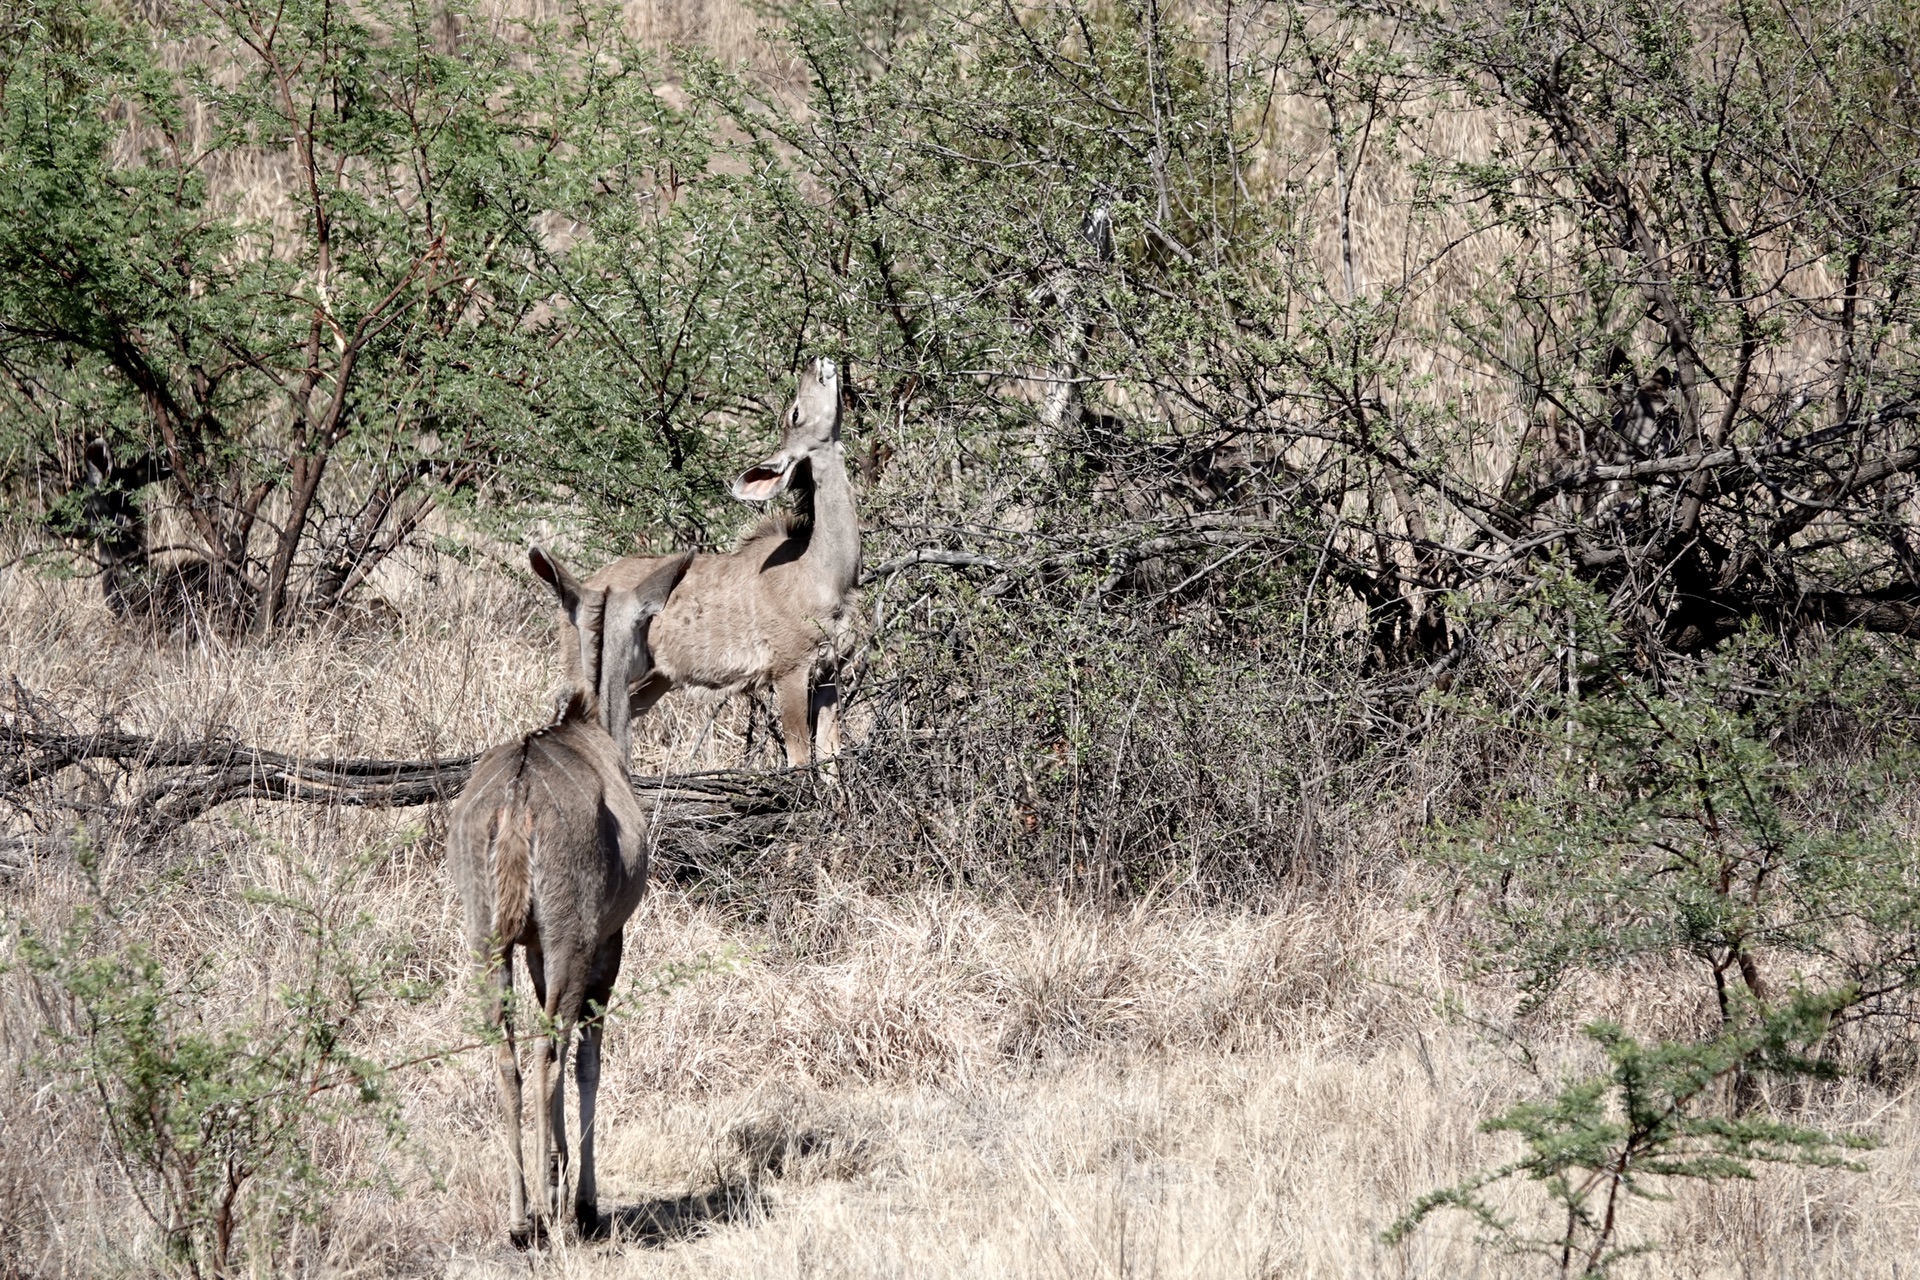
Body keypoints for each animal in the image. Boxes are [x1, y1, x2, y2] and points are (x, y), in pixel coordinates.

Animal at [447, 545, 691, 1243]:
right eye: (648, 622)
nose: (655, 676)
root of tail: (516, 801)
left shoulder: (530, 947)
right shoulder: (607, 941)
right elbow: (591, 1059)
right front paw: (583, 1200)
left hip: (488, 940)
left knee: (506, 1049)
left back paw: (518, 1214)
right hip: (570, 938)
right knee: (551, 1050)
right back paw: (551, 1214)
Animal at [564, 355, 860, 767]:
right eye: (796, 413)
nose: (818, 362)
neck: (824, 573)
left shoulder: (831, 670)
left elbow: (832, 757)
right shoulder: (790, 670)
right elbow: (799, 759)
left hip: (655, 679)